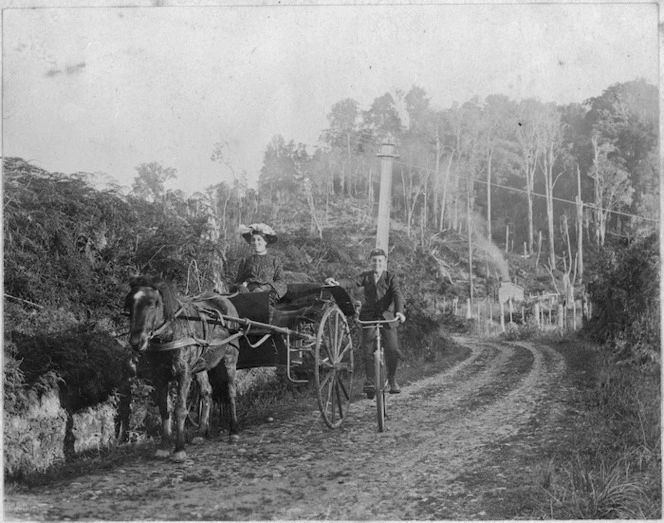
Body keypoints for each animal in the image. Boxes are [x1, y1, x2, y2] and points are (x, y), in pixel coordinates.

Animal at [124, 274, 241, 462]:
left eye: (152, 303)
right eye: (129, 303)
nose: (136, 341)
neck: (172, 332)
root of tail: (224, 299)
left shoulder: (183, 373)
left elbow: (180, 409)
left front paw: (179, 449)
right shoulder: (160, 376)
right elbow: (164, 409)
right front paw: (164, 447)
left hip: (230, 359)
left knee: (230, 392)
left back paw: (234, 431)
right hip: (201, 366)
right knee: (206, 392)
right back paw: (201, 433)